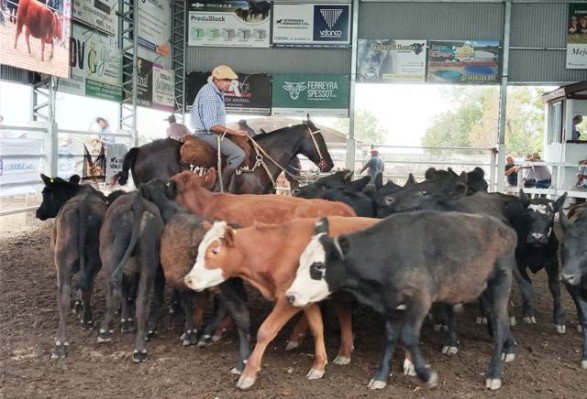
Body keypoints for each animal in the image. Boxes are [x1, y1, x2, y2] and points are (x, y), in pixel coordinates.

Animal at [35, 175, 108, 360]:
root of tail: (82, 206)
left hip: (68, 258)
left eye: (45, 193)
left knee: (74, 289)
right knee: (76, 288)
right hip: (83, 258)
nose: (38, 212)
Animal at [97, 192, 164, 364]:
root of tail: (137, 202)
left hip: (111, 255)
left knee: (114, 291)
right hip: (149, 261)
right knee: (143, 302)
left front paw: (125, 321)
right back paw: (140, 349)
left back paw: (104, 331)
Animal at [288, 214, 516, 392]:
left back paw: (494, 373)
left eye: (318, 266)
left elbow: (407, 336)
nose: (291, 295)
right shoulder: (390, 305)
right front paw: (380, 377)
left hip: (501, 283)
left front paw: (426, 375)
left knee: (501, 323)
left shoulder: (420, 300)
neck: (389, 254)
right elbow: (390, 337)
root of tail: (504, 228)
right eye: (300, 262)